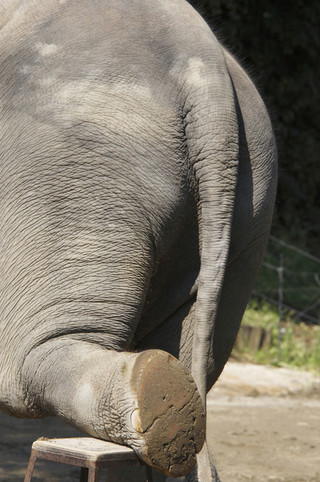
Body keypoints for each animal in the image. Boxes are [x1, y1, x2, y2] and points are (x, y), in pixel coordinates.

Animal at [0, 0, 276, 480]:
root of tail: (207, 78)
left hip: (79, 164)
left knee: (26, 358)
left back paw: (155, 399)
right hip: (250, 206)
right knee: (194, 355)